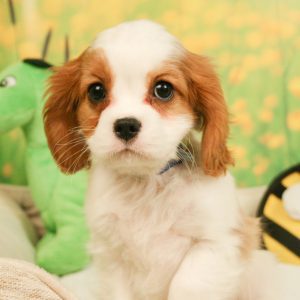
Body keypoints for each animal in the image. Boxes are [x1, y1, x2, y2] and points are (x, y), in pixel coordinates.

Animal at [43, 19, 280, 298]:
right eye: (96, 91)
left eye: (163, 89)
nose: (126, 125)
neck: (146, 183)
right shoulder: (111, 255)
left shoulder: (217, 241)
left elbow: (188, 284)